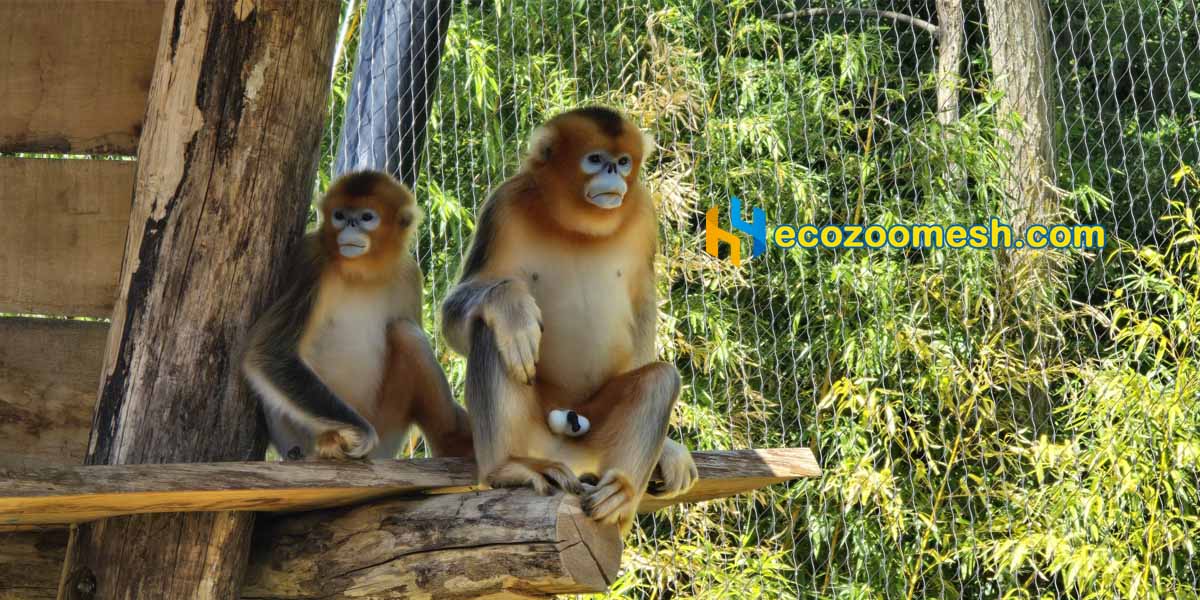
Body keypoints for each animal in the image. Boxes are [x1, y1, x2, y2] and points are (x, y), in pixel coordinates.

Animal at [243, 170, 473, 461]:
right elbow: (271, 353)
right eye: (339, 215)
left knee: (405, 332)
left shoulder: (409, 274)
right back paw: (326, 443)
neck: (361, 273)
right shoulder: (311, 258)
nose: (349, 225)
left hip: (387, 432)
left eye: (366, 217)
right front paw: (360, 433)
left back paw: (453, 442)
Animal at [442, 107, 698, 532]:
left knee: (661, 379)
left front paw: (670, 451)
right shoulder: (503, 205)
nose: (612, 172)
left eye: (622, 161)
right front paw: (512, 307)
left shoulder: (643, 214)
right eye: (594, 159)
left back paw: (620, 493)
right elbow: (456, 318)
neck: (580, 227)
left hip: (596, 434)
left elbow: (643, 307)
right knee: (492, 331)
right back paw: (508, 467)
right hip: (530, 430)